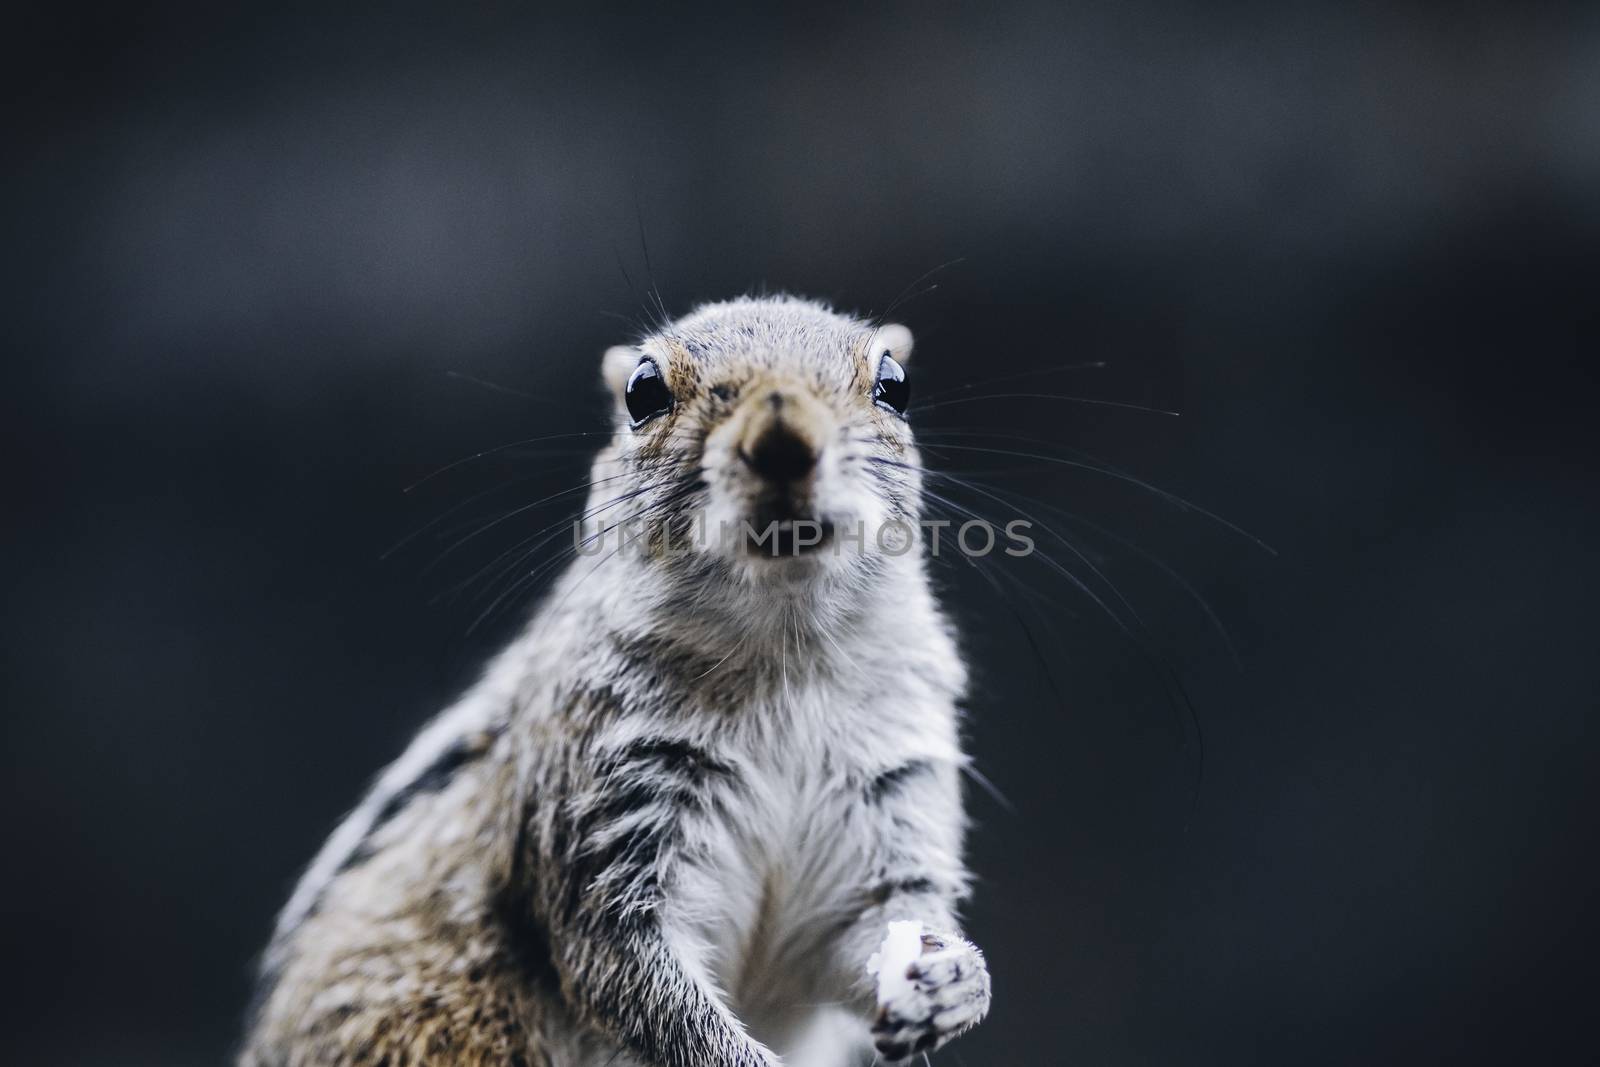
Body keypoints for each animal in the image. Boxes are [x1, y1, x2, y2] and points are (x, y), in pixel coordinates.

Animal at [240, 295, 985, 1067]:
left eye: (894, 384)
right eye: (642, 392)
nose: (785, 439)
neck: (784, 652)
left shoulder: (892, 788)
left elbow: (862, 931)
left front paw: (952, 981)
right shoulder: (601, 814)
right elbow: (632, 978)